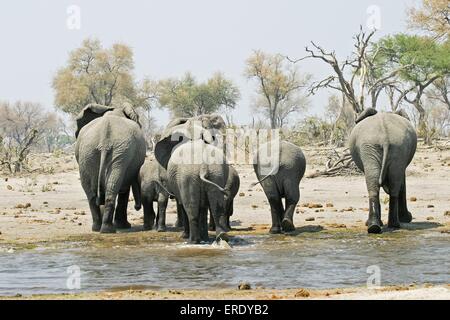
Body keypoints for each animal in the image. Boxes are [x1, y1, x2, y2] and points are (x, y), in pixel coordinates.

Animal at [73, 104, 144, 234]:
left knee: (93, 191)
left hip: (91, 153)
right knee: (111, 187)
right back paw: (108, 229)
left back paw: (100, 228)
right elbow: (124, 190)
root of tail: (104, 140)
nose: (137, 207)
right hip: (113, 152)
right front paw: (124, 226)